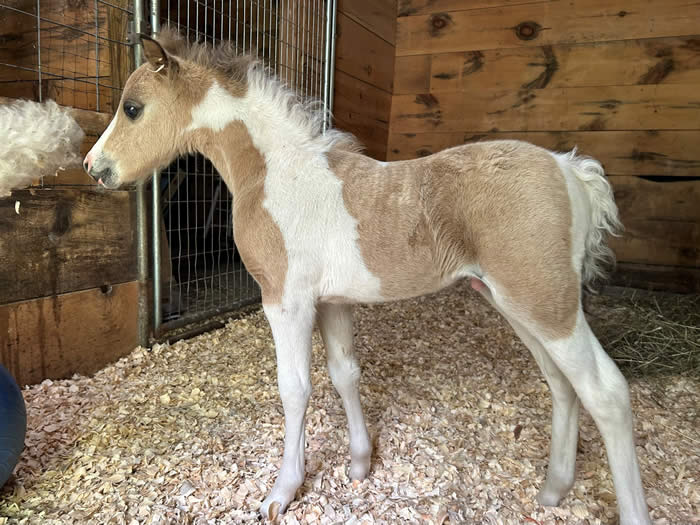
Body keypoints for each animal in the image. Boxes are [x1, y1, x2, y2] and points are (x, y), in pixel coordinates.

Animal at [83, 29, 651, 525]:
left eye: (132, 108)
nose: (94, 167)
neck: (275, 175)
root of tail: (570, 169)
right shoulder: (333, 301)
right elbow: (345, 373)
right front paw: (359, 464)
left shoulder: (285, 300)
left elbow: (296, 387)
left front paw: (283, 491)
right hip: (519, 303)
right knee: (562, 385)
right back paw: (553, 490)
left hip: (546, 303)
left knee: (606, 392)